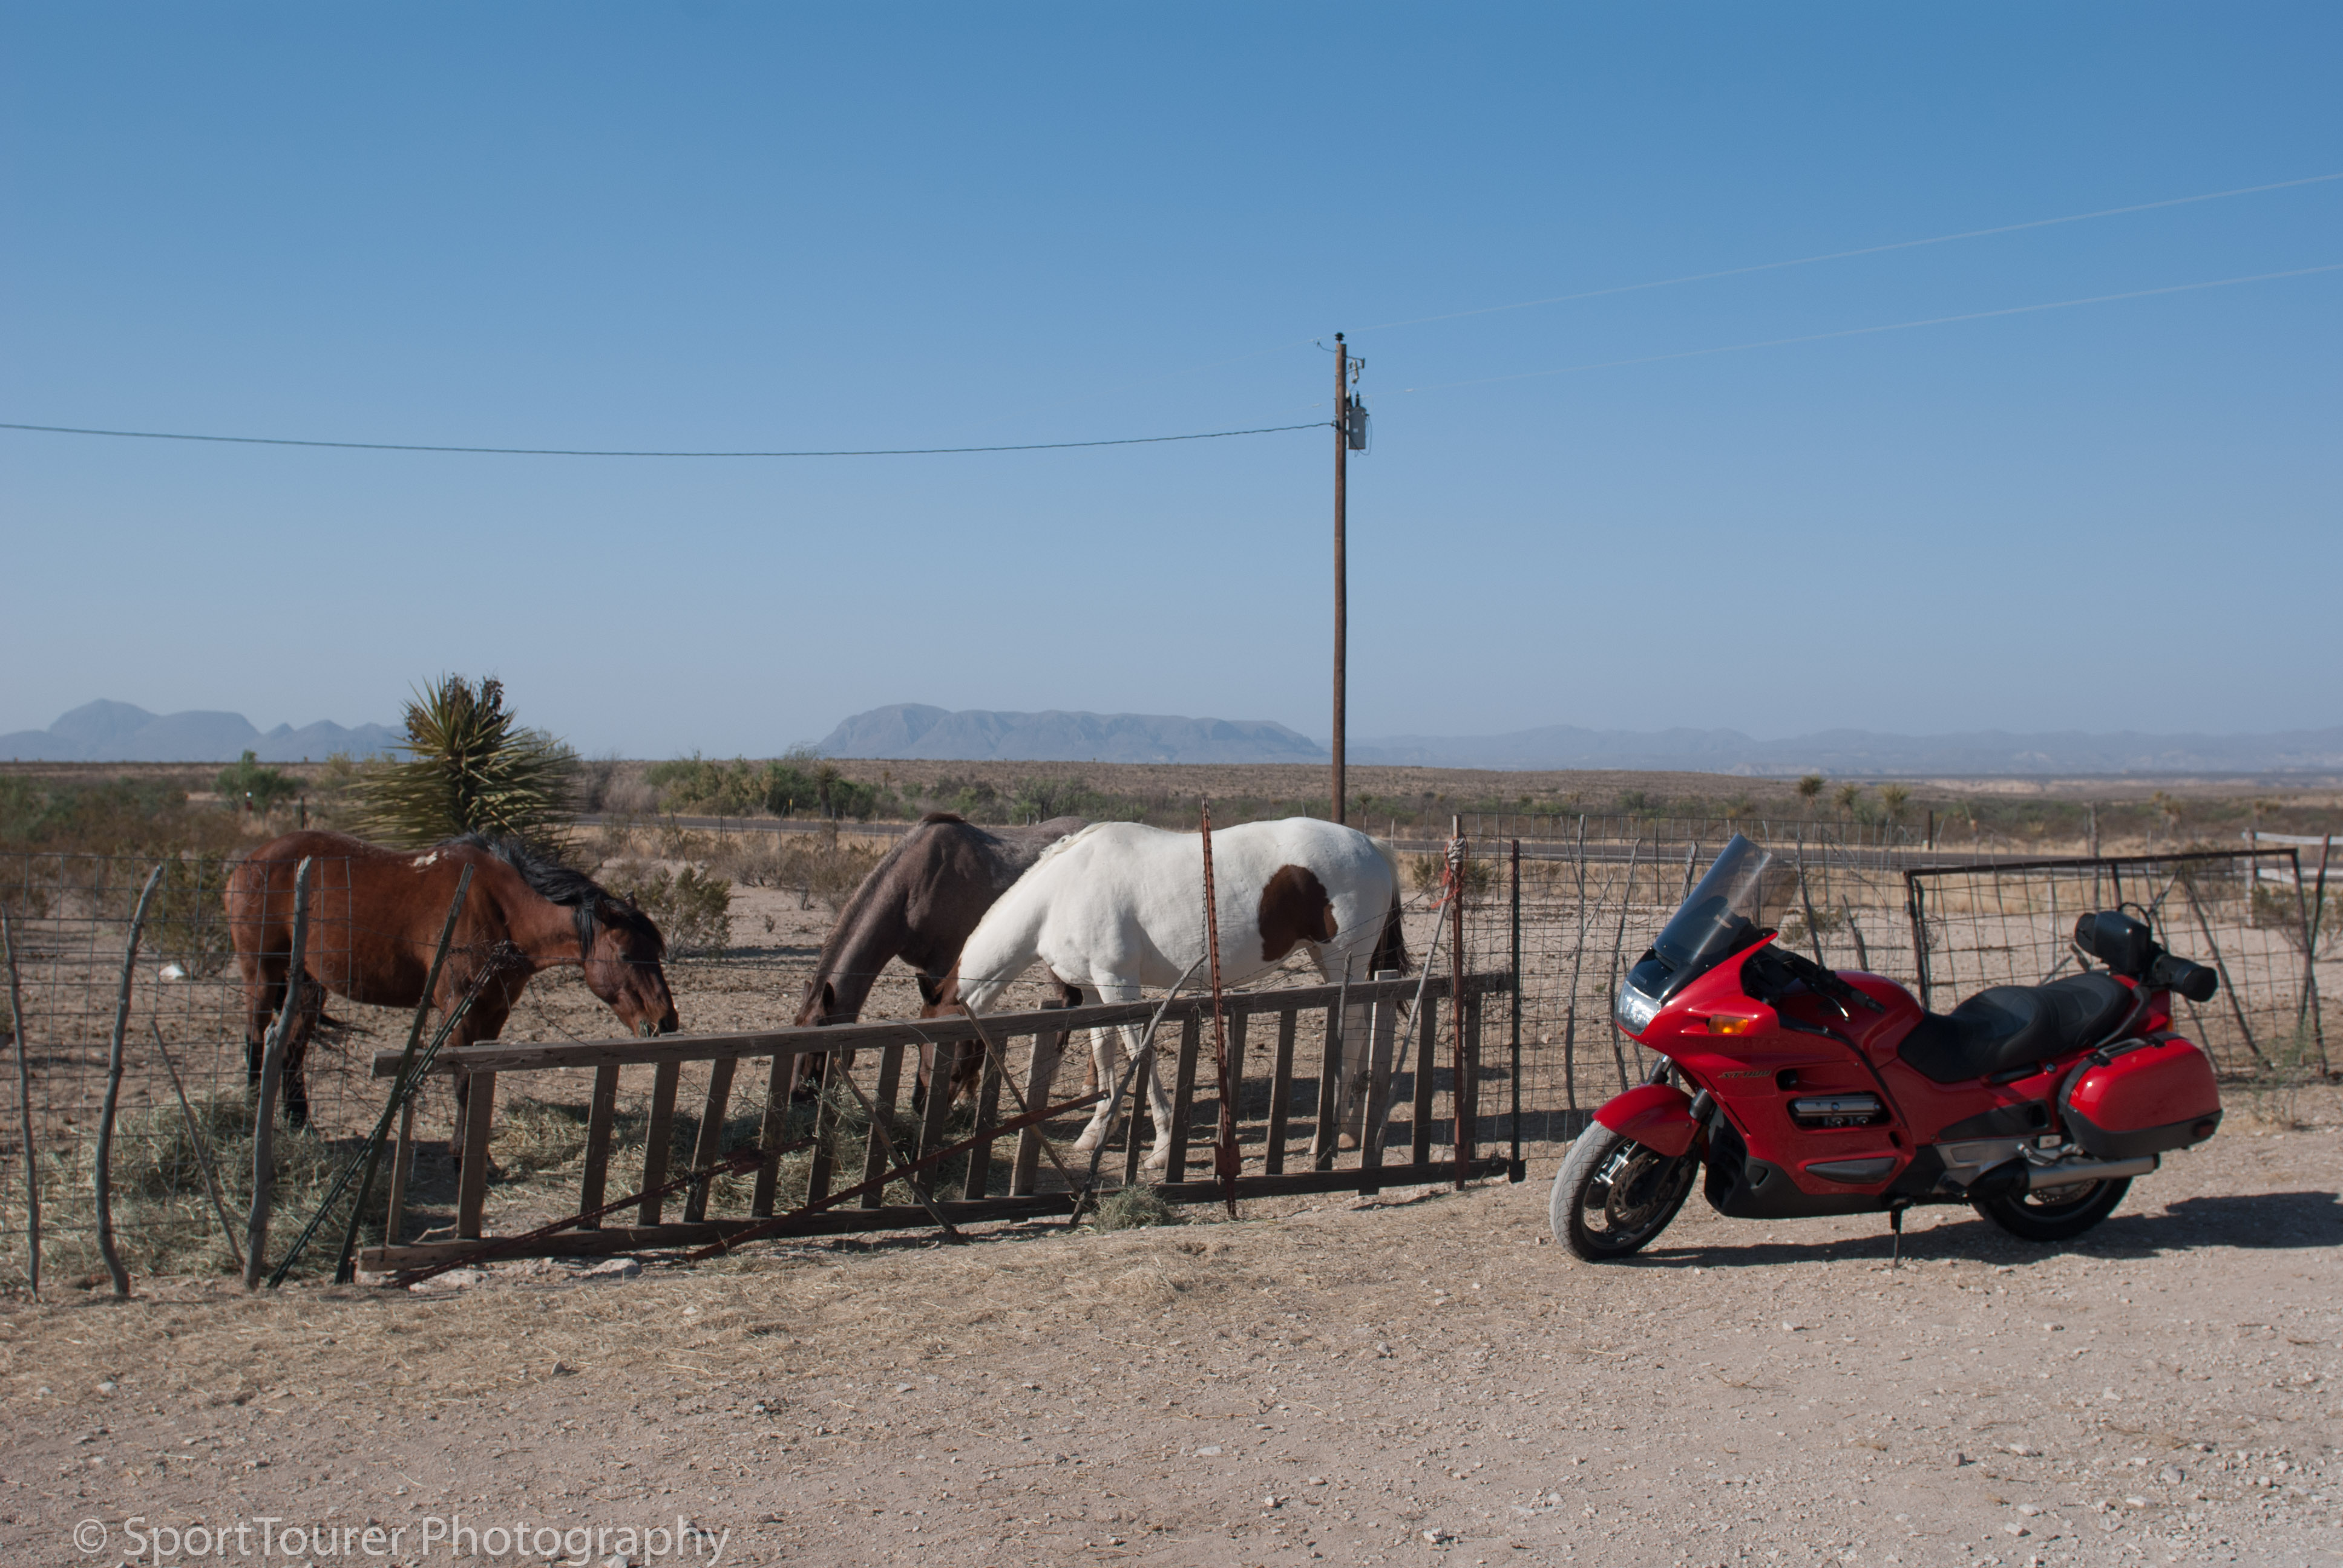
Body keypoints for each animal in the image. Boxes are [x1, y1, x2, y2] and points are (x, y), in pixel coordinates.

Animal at [225, 829, 678, 1145]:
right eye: (626, 955)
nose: (666, 1021)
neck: (500, 909)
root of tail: (246, 863)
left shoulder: (493, 1014)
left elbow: (478, 1085)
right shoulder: (459, 1012)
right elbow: (463, 1085)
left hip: (308, 985)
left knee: (292, 1052)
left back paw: (301, 1125)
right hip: (262, 973)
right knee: (254, 1039)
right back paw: (250, 1121)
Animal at [922, 818, 1409, 1171]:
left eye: (940, 1056)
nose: (924, 1108)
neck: (1061, 893)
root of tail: (1372, 846)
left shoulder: (1119, 984)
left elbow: (1140, 1054)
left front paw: (1160, 1147)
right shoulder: (1094, 991)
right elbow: (1103, 1053)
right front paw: (1095, 1132)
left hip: (1344, 960)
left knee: (1352, 1034)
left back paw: (1328, 1138)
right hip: (1331, 962)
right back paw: (1348, 1130)